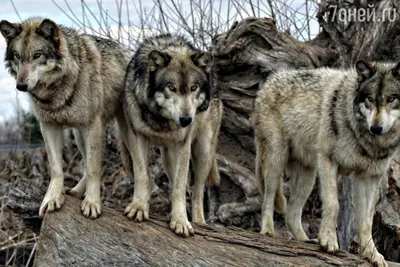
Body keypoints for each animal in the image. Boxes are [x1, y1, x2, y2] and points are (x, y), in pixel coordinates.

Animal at [0, 17, 133, 220]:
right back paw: (76, 192)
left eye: (37, 55)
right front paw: (53, 199)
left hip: (122, 134)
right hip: (79, 135)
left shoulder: (91, 126)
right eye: (17, 56)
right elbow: (56, 168)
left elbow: (94, 169)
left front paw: (92, 203)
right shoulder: (48, 126)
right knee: (87, 165)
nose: (20, 86)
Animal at [120, 34, 223, 238]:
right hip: (166, 157)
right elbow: (143, 176)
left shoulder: (182, 145)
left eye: (193, 87)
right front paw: (139, 207)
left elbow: (179, 188)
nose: (186, 120)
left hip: (203, 152)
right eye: (171, 87)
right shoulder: (137, 137)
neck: (161, 120)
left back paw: (199, 222)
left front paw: (180, 221)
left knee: (197, 192)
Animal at [253, 60, 400, 267]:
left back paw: (305, 240)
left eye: (391, 99)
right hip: (276, 162)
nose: (376, 128)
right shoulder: (328, 161)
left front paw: (372, 254)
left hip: (308, 177)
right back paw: (268, 232)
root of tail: (268, 83)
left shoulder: (369, 177)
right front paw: (328, 241)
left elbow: (367, 221)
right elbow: (333, 204)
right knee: (268, 199)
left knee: (291, 213)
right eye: (370, 99)